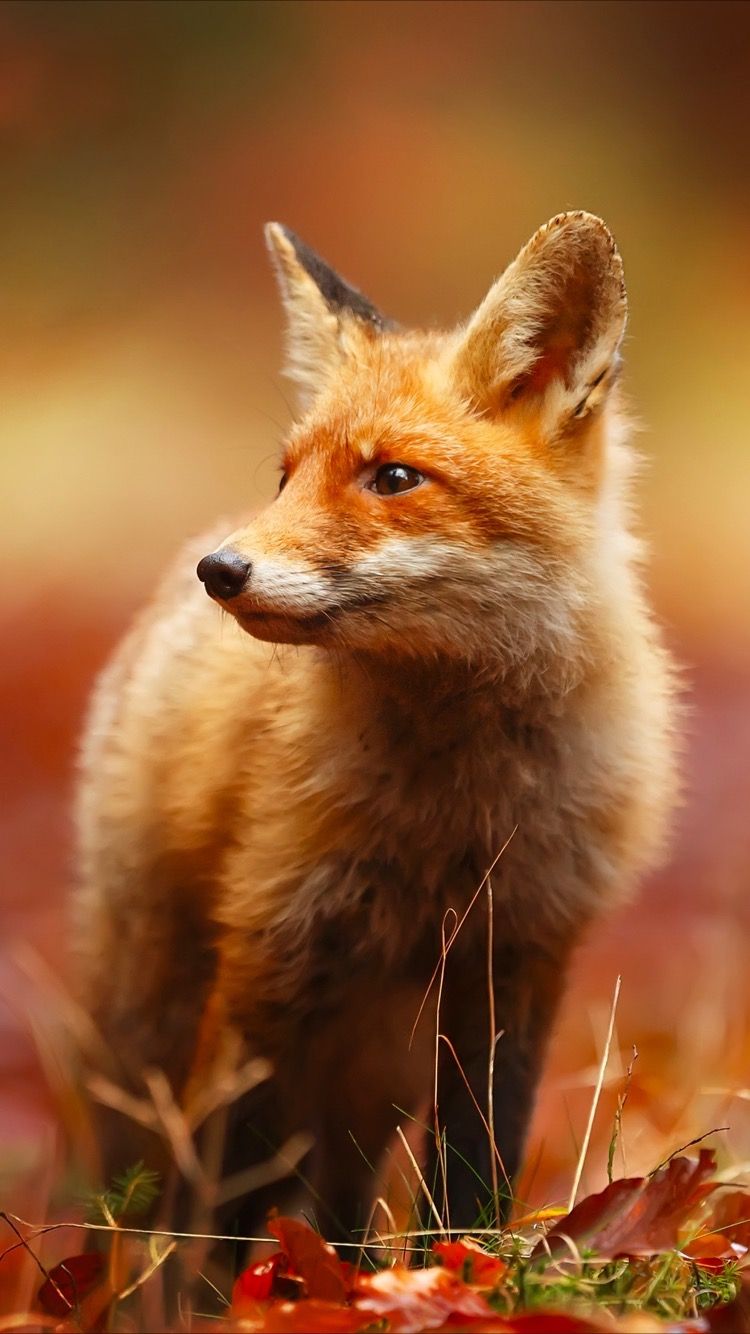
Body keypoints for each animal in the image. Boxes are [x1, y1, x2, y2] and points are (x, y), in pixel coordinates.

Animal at [75, 212, 677, 1243]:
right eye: (287, 477)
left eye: (393, 477)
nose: (220, 570)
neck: (452, 813)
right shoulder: (270, 951)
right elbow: (227, 1194)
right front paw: (227, 1284)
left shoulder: (516, 959)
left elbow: (476, 1166)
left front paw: (460, 1264)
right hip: (171, 1014)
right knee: (164, 1178)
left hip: (376, 1071)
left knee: (344, 1195)